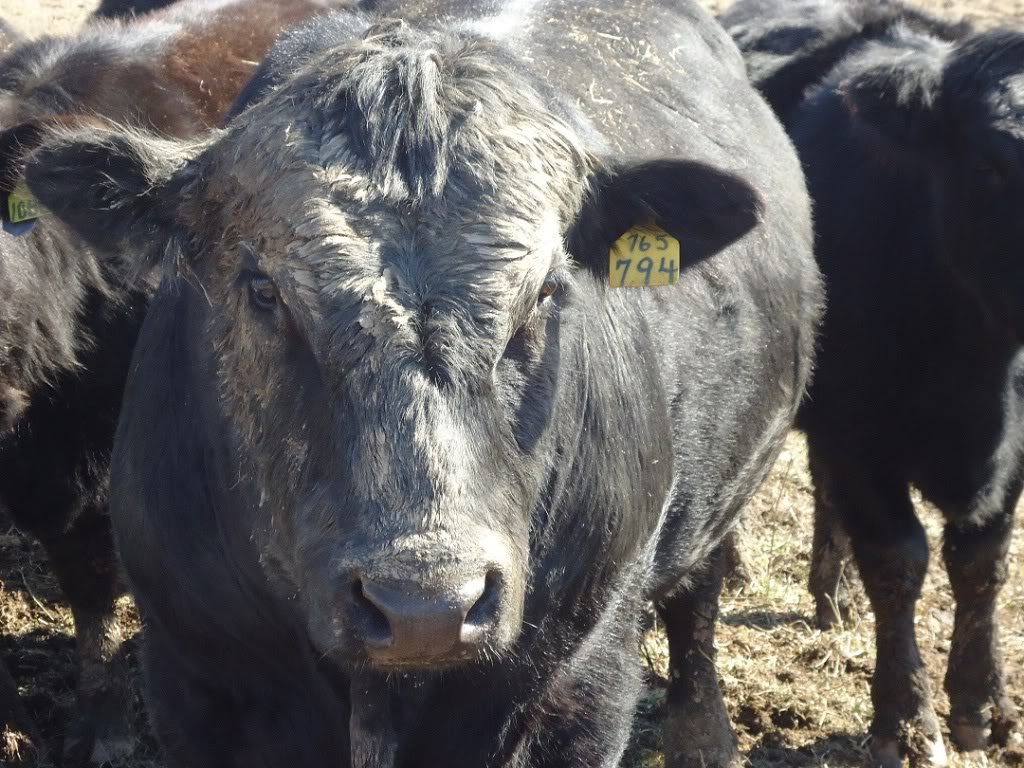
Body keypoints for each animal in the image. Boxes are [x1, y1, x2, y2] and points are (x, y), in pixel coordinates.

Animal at [720, 0, 1024, 765]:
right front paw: (906, 721)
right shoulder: (859, 436)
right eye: (990, 165)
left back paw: (835, 598)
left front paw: (983, 707)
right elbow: (899, 561)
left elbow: (982, 564)